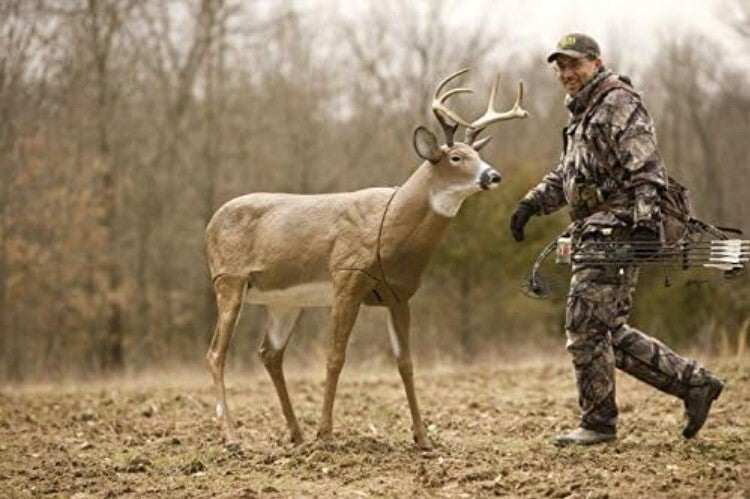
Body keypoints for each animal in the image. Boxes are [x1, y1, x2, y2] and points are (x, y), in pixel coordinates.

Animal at [205, 69, 528, 450]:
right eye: (456, 158)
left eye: (475, 154)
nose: (493, 175)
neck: (389, 227)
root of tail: (209, 225)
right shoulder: (347, 277)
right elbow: (335, 356)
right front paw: (326, 434)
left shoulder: (398, 294)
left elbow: (406, 363)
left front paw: (422, 438)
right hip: (229, 279)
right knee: (216, 353)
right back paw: (233, 438)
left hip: (285, 302)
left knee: (269, 354)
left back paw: (296, 435)